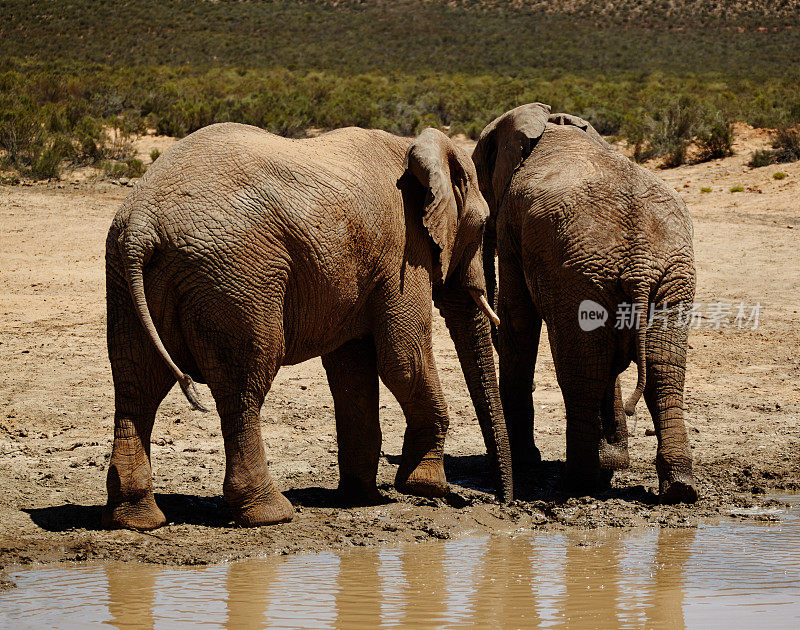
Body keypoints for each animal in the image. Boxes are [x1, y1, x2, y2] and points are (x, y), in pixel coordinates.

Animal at [103, 121, 512, 532]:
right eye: (482, 226)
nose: (502, 501)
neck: (413, 148)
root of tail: (141, 224)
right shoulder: (403, 251)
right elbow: (402, 359)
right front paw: (427, 488)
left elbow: (351, 369)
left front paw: (362, 497)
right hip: (235, 279)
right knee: (244, 385)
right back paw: (271, 514)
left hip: (125, 277)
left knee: (136, 384)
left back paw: (137, 519)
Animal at [472, 106, 696, 506]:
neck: (550, 123)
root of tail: (639, 263)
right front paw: (614, 462)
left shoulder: (512, 220)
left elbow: (518, 323)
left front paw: (528, 461)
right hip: (665, 274)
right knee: (662, 370)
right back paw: (679, 488)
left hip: (581, 274)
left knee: (582, 372)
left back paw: (578, 482)